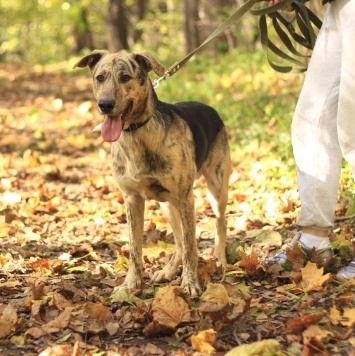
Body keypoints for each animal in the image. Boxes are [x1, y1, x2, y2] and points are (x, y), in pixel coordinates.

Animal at [74, 50, 232, 294]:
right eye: (100, 77)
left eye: (125, 77)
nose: (105, 105)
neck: (136, 134)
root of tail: (210, 108)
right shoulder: (132, 199)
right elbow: (135, 247)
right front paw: (130, 285)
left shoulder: (186, 197)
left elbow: (191, 247)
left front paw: (190, 283)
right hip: (168, 205)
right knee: (178, 240)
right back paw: (169, 270)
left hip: (215, 188)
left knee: (218, 223)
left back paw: (220, 259)